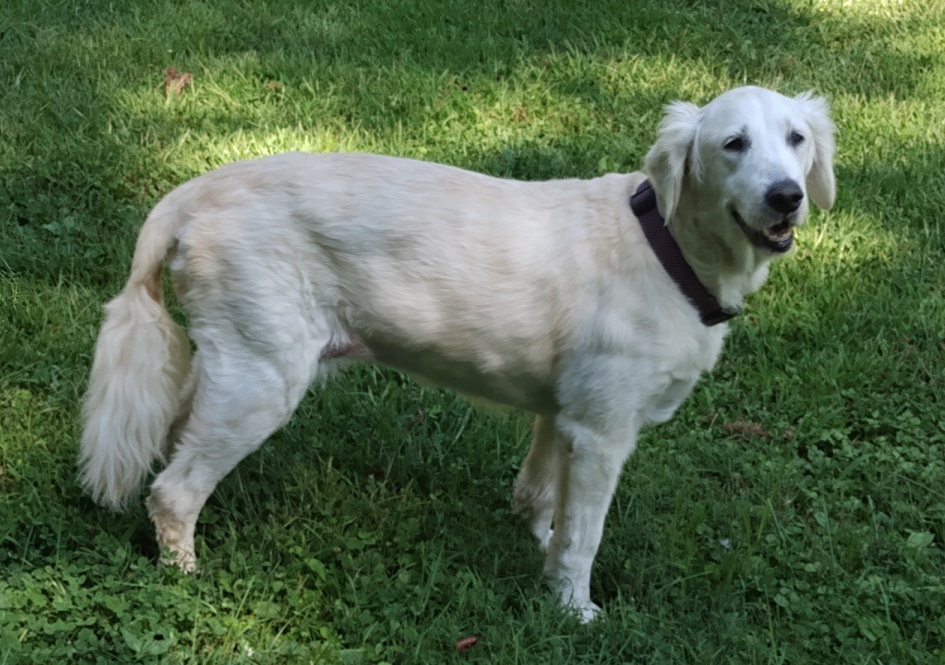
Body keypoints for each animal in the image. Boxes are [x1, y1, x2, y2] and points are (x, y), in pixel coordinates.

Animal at [81, 85, 832, 620]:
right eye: (732, 144)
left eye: (795, 139)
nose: (786, 197)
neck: (666, 247)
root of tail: (193, 192)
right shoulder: (602, 431)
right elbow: (583, 536)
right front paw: (575, 609)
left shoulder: (562, 413)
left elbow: (541, 499)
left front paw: (541, 554)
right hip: (262, 379)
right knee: (173, 490)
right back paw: (185, 577)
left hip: (230, 362)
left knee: (169, 446)